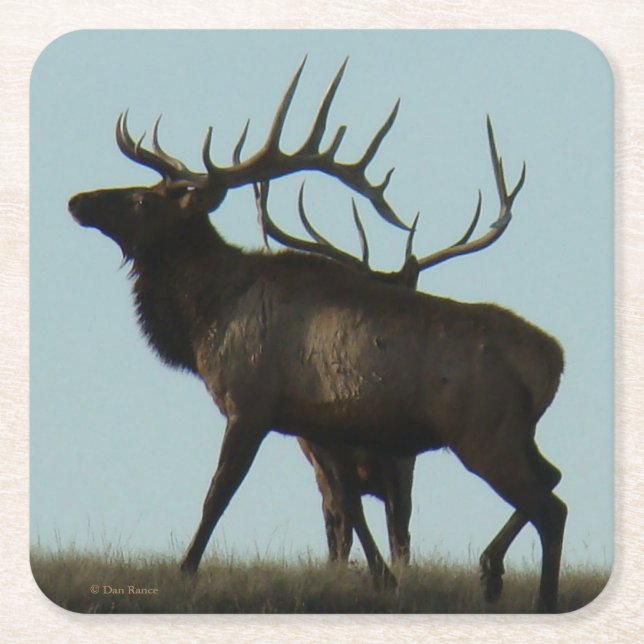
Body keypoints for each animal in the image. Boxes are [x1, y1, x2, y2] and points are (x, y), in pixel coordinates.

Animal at [67, 58, 567, 612]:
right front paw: (383, 580)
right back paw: (500, 574)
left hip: (483, 432)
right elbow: (346, 506)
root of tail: (553, 359)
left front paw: (185, 570)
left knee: (549, 505)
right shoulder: (321, 424)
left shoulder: (251, 402)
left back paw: (515, 583)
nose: (78, 200)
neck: (205, 319)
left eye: (140, 198)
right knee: (554, 485)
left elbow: (218, 493)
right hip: (516, 432)